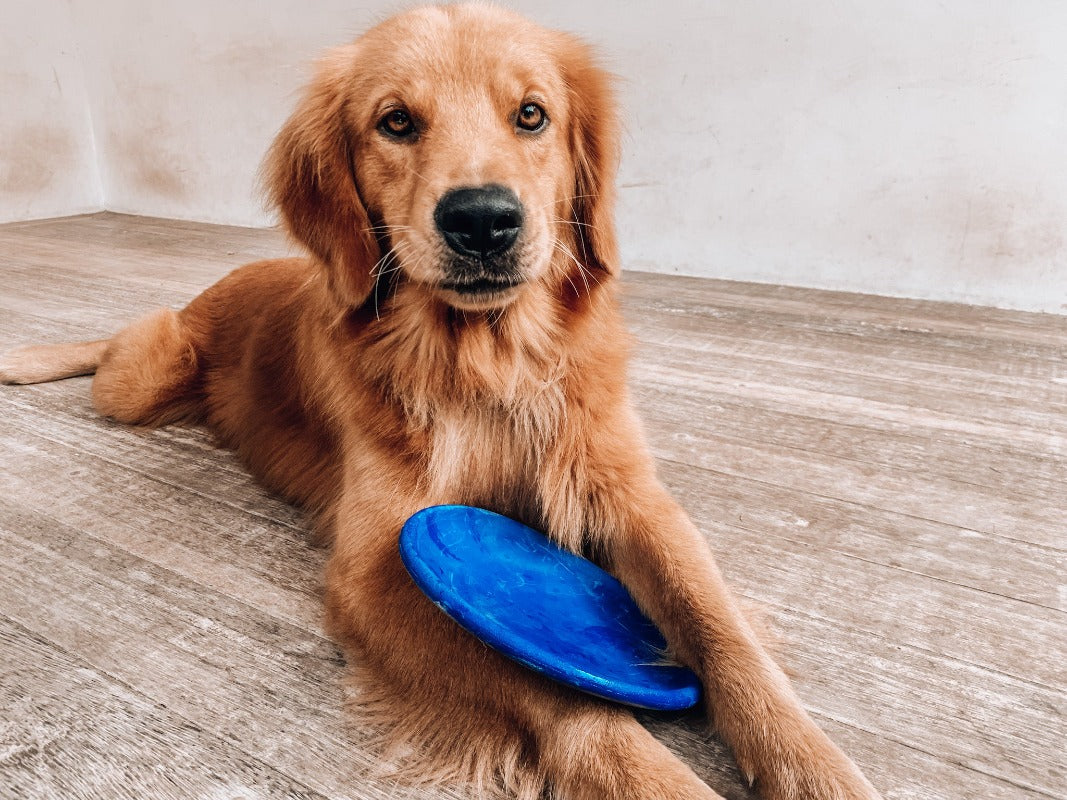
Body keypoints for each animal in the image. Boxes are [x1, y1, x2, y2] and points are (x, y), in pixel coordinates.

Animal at [0, 6, 879, 800]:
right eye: (396, 121)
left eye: (531, 114)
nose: (482, 220)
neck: (490, 369)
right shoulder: (377, 566)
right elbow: (558, 692)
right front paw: (657, 779)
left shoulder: (627, 496)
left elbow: (720, 630)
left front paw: (813, 763)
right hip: (146, 374)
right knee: (118, 340)